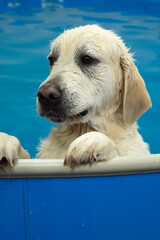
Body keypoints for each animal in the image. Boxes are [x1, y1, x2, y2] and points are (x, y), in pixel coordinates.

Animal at [0, 24, 151, 167]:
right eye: (51, 60)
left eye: (87, 59)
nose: (45, 95)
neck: (80, 129)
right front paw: (4, 140)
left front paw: (95, 140)